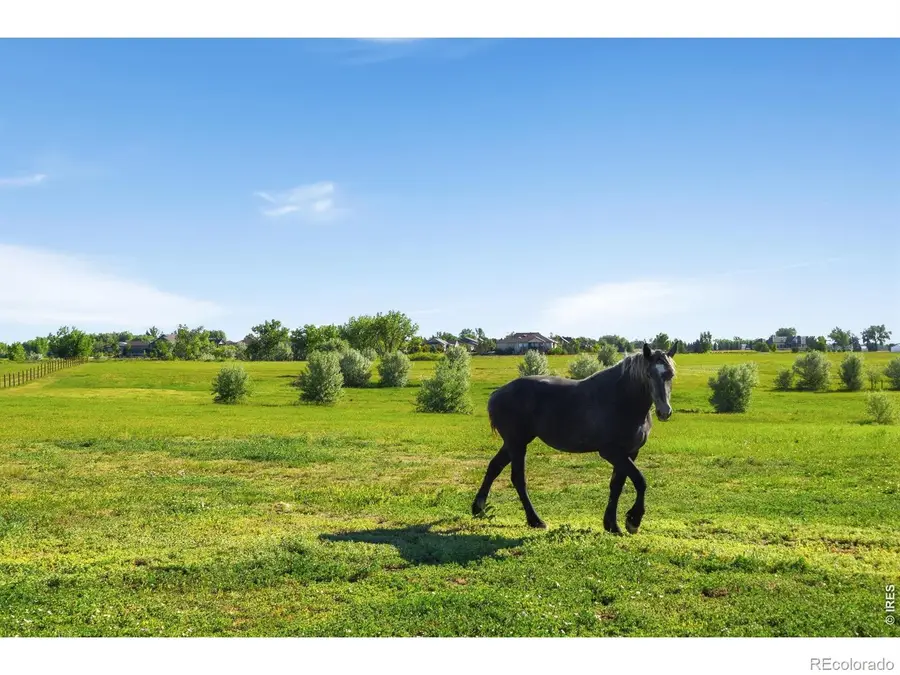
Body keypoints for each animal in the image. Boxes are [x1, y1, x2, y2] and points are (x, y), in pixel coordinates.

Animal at [471, 342, 678, 534]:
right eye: (649, 374)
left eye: (670, 374)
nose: (664, 412)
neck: (622, 400)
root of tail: (497, 394)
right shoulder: (612, 453)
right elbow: (640, 480)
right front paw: (633, 520)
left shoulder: (630, 452)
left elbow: (617, 485)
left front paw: (611, 524)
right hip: (517, 444)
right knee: (518, 479)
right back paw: (535, 520)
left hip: (514, 443)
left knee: (494, 467)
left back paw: (478, 508)